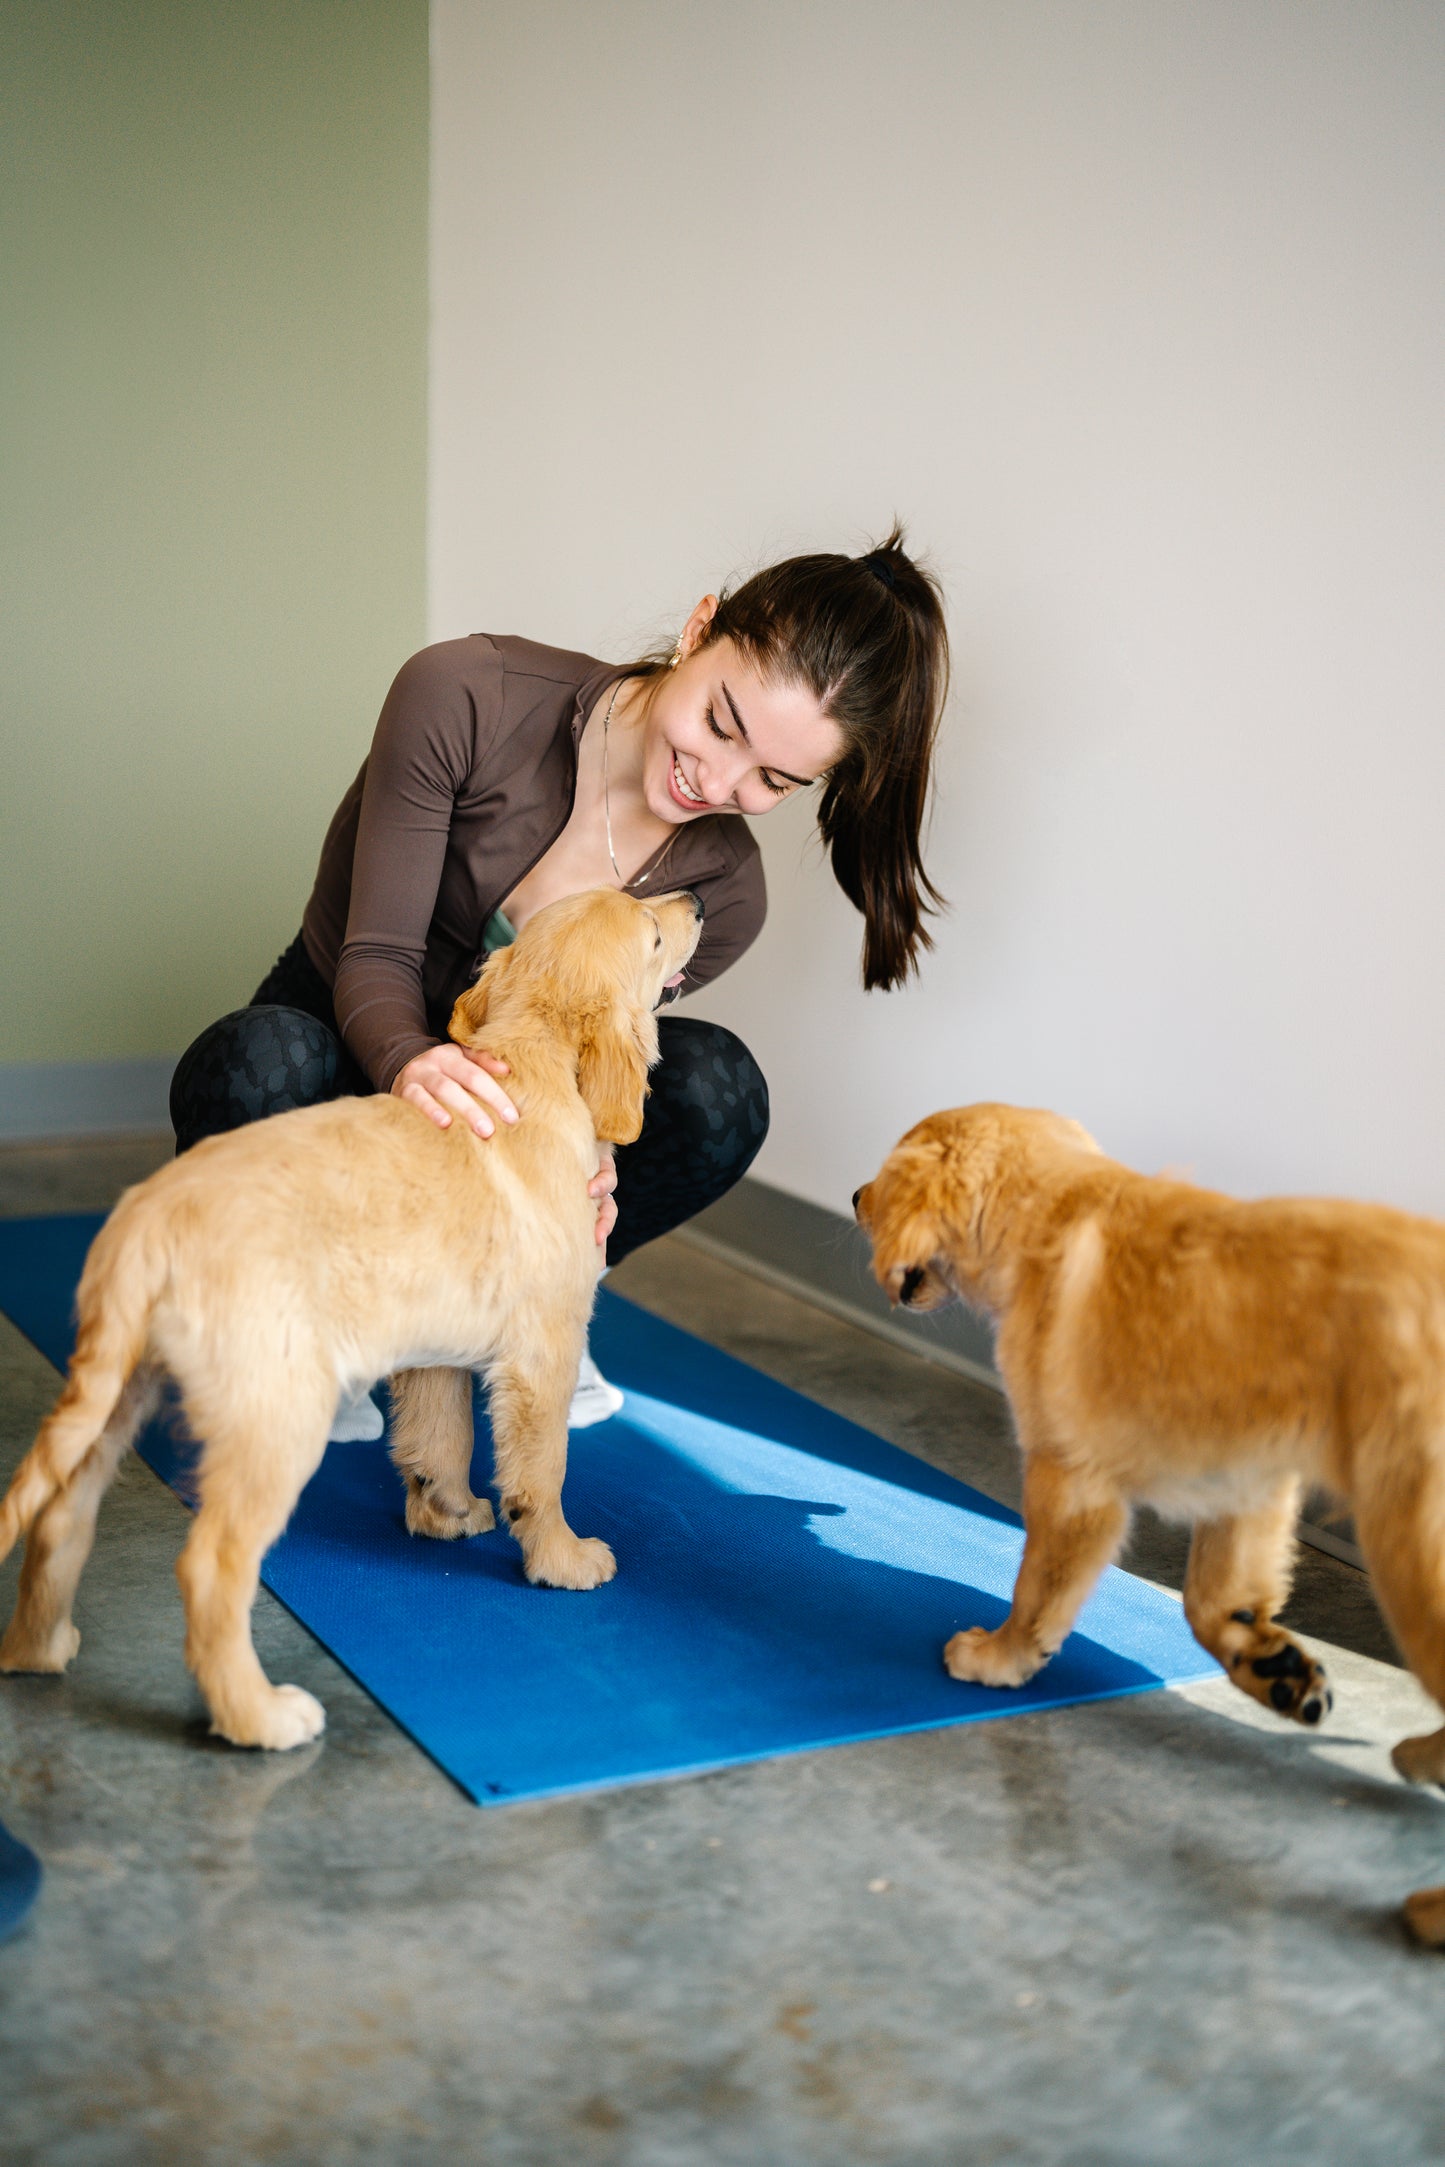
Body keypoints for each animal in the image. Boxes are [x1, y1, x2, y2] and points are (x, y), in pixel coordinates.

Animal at [0, 888, 701, 1750]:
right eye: (653, 931)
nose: (696, 899)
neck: (531, 1069)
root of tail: (148, 1215)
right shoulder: (546, 1346)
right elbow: (542, 1469)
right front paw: (562, 1559)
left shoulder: (436, 1341)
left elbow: (441, 1436)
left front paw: (446, 1511)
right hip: (273, 1414)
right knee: (210, 1568)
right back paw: (261, 1715)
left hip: (117, 1391)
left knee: (60, 1517)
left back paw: (38, 1647)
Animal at [857, 1100, 1445, 1950]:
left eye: (879, 1178)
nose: (850, 1197)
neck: (1044, 1210)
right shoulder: (1244, 1480)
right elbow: (1211, 1600)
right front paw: (1268, 1664)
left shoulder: (1069, 1476)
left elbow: (1036, 1591)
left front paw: (1002, 1655)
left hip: (1409, 1539)